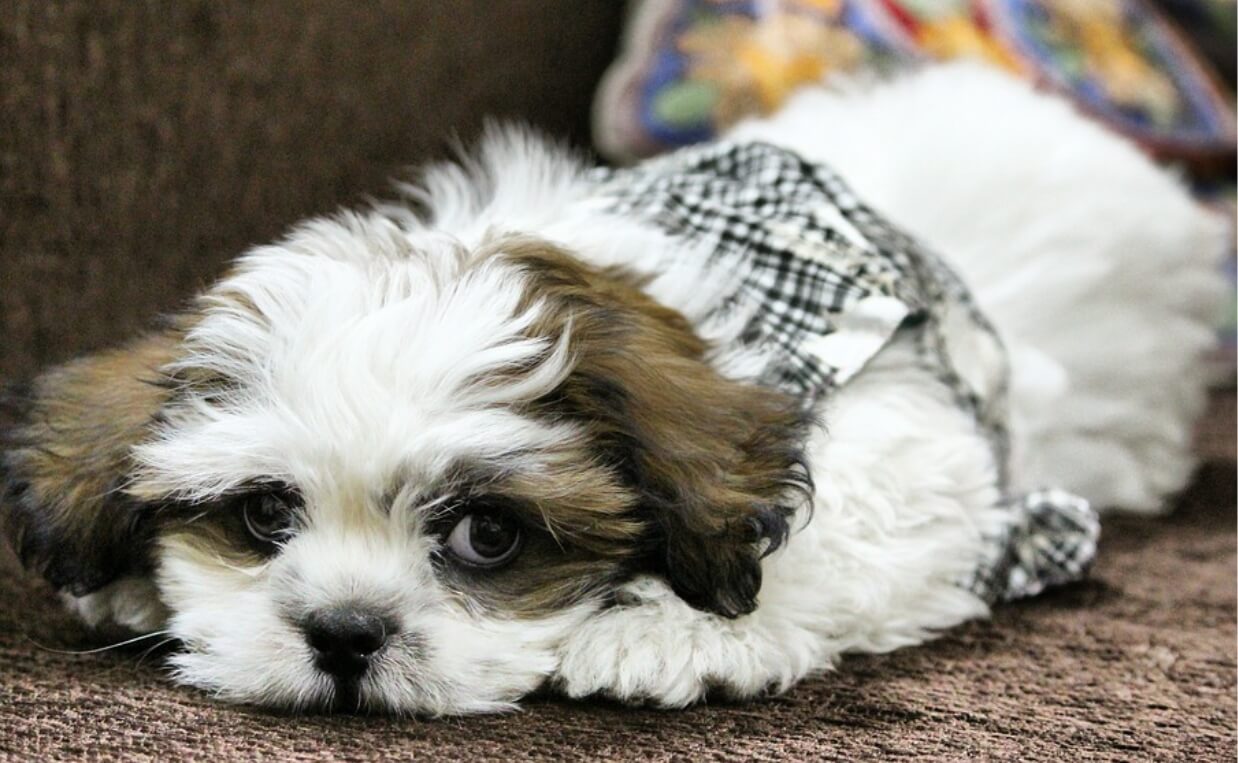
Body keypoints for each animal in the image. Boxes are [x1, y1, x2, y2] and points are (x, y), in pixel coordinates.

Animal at [0, 61, 1218, 713]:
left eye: (488, 534)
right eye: (261, 513)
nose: (345, 633)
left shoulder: (915, 412)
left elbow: (841, 522)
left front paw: (669, 631)